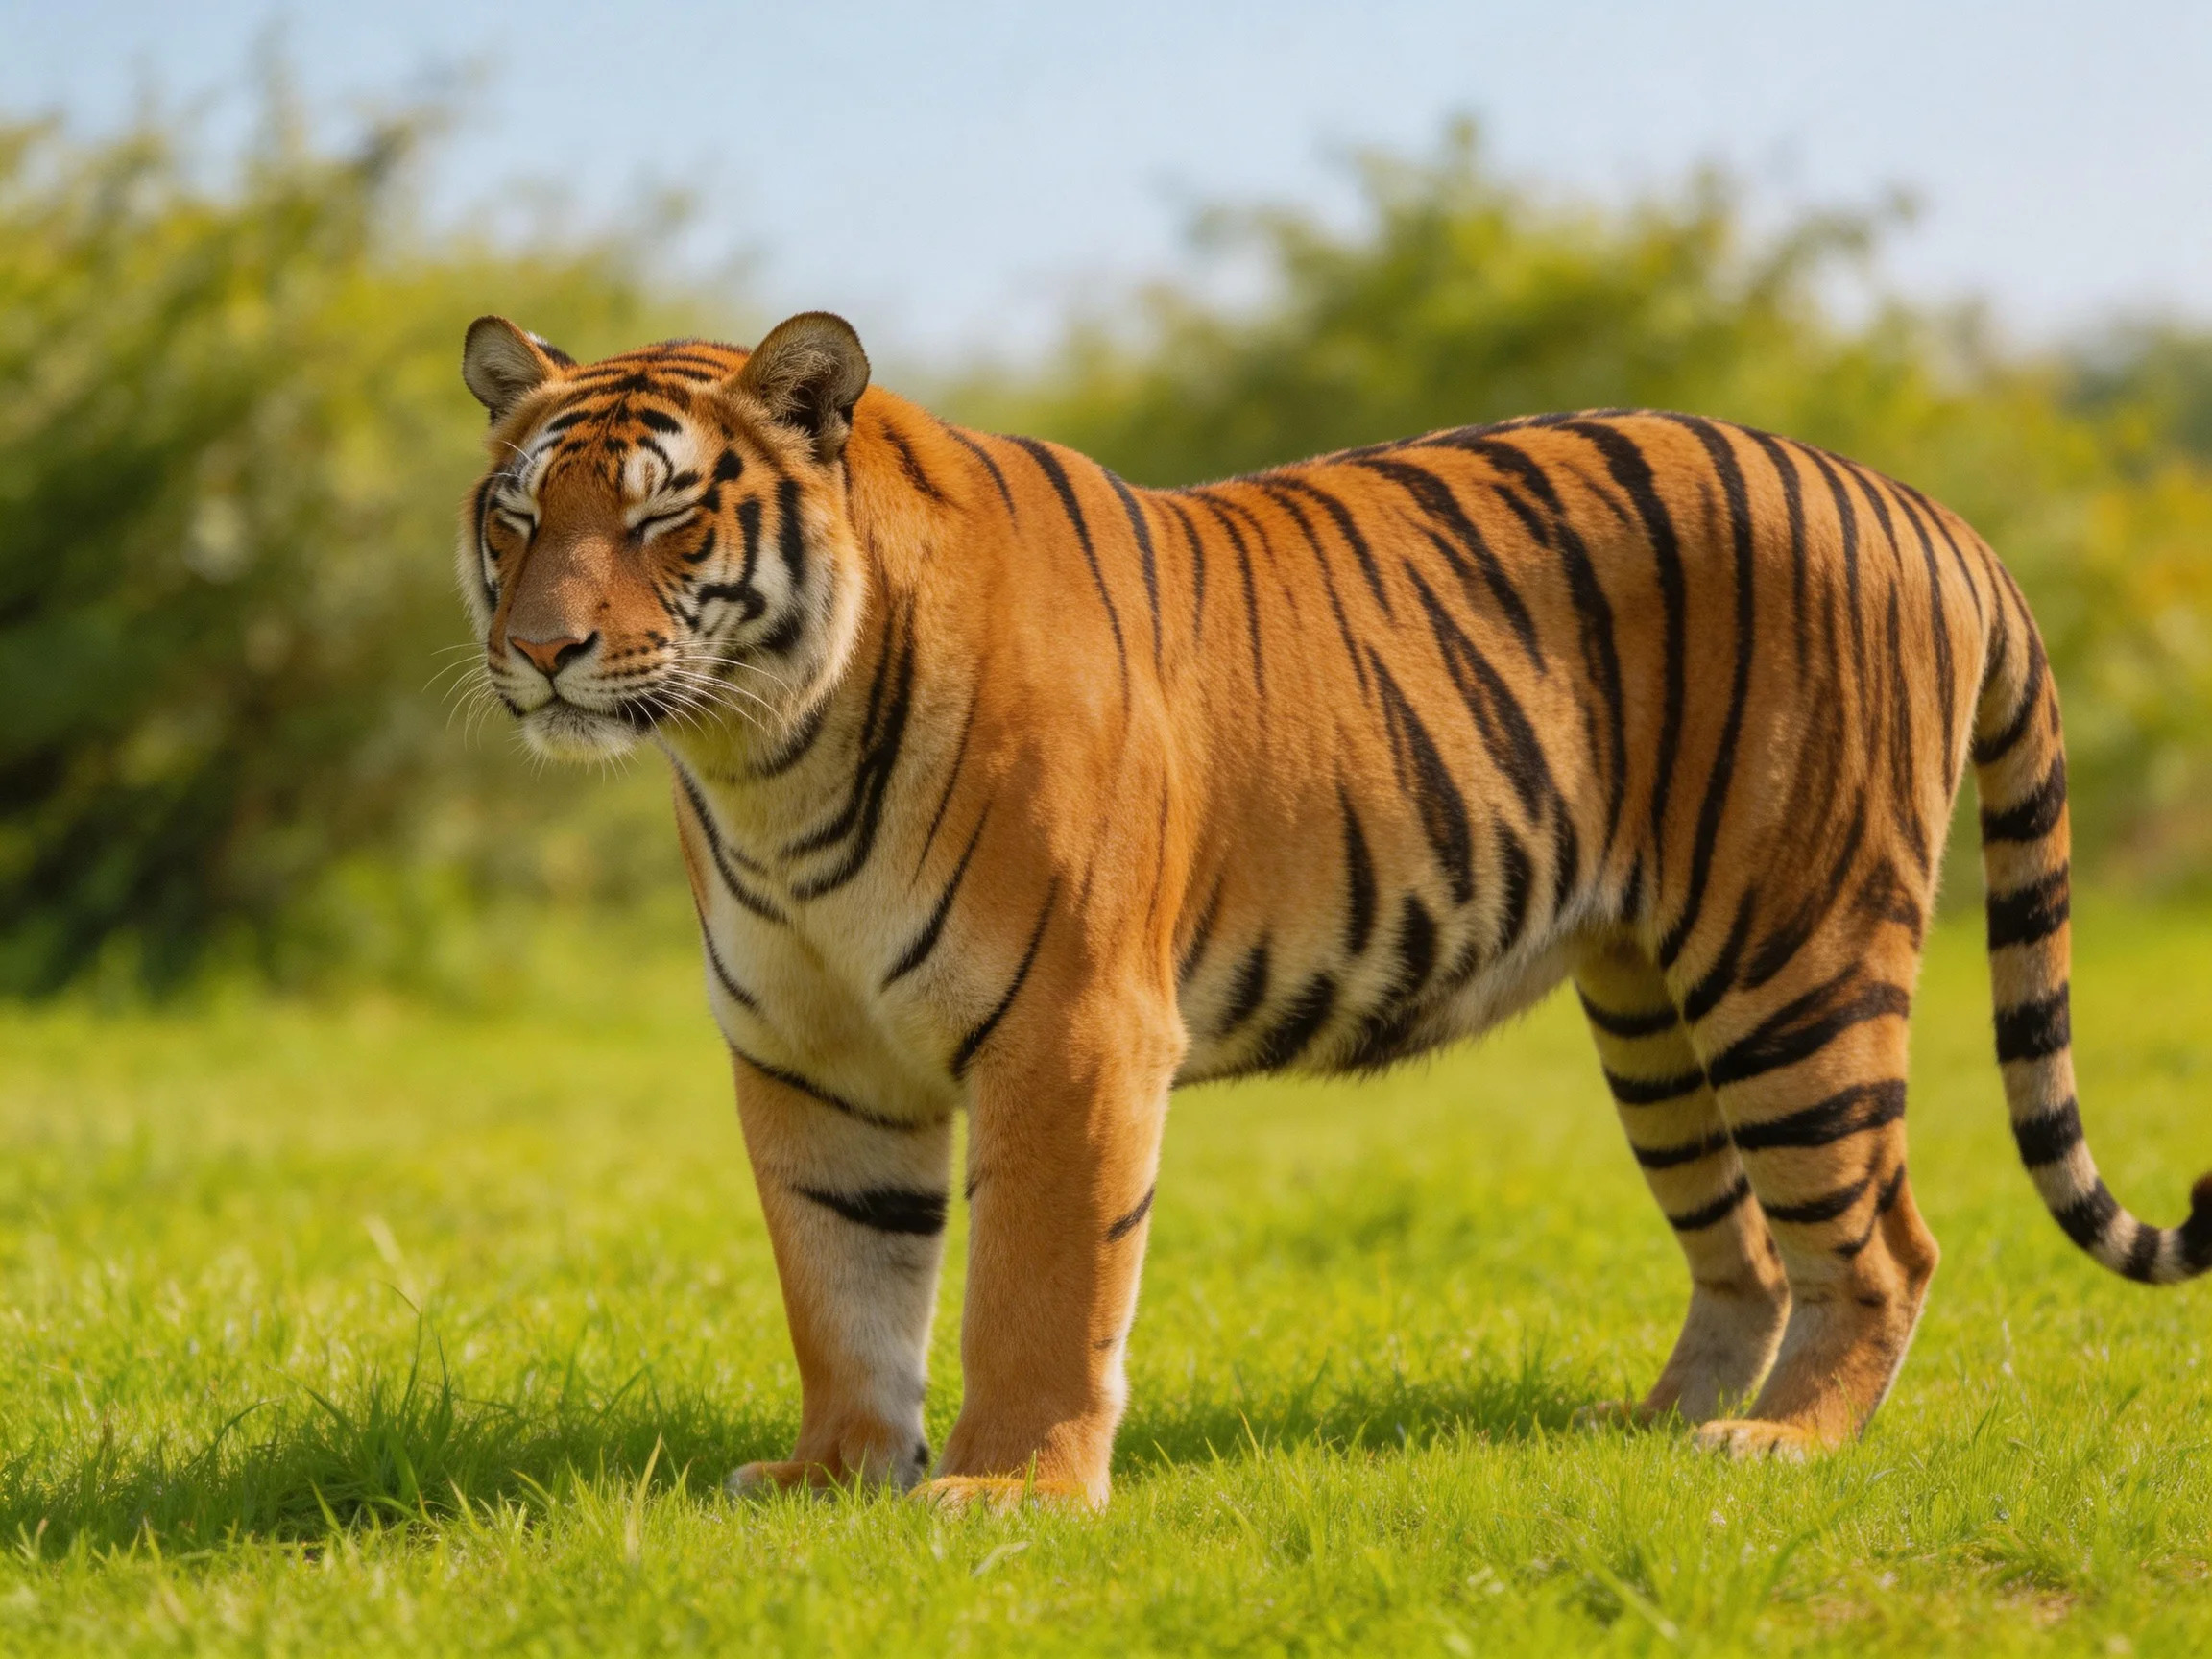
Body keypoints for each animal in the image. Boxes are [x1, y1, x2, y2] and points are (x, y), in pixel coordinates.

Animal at [455, 308, 2212, 1507]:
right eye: (517, 515)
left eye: (666, 514)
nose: (538, 651)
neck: (763, 750)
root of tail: (1929, 512)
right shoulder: (812, 1054)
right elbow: (841, 1278)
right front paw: (831, 1475)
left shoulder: (1071, 1032)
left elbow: (1036, 1281)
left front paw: (1007, 1488)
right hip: (1652, 1011)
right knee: (1745, 1252)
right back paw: (1647, 1430)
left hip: (1797, 962)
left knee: (1881, 1241)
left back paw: (1777, 1442)